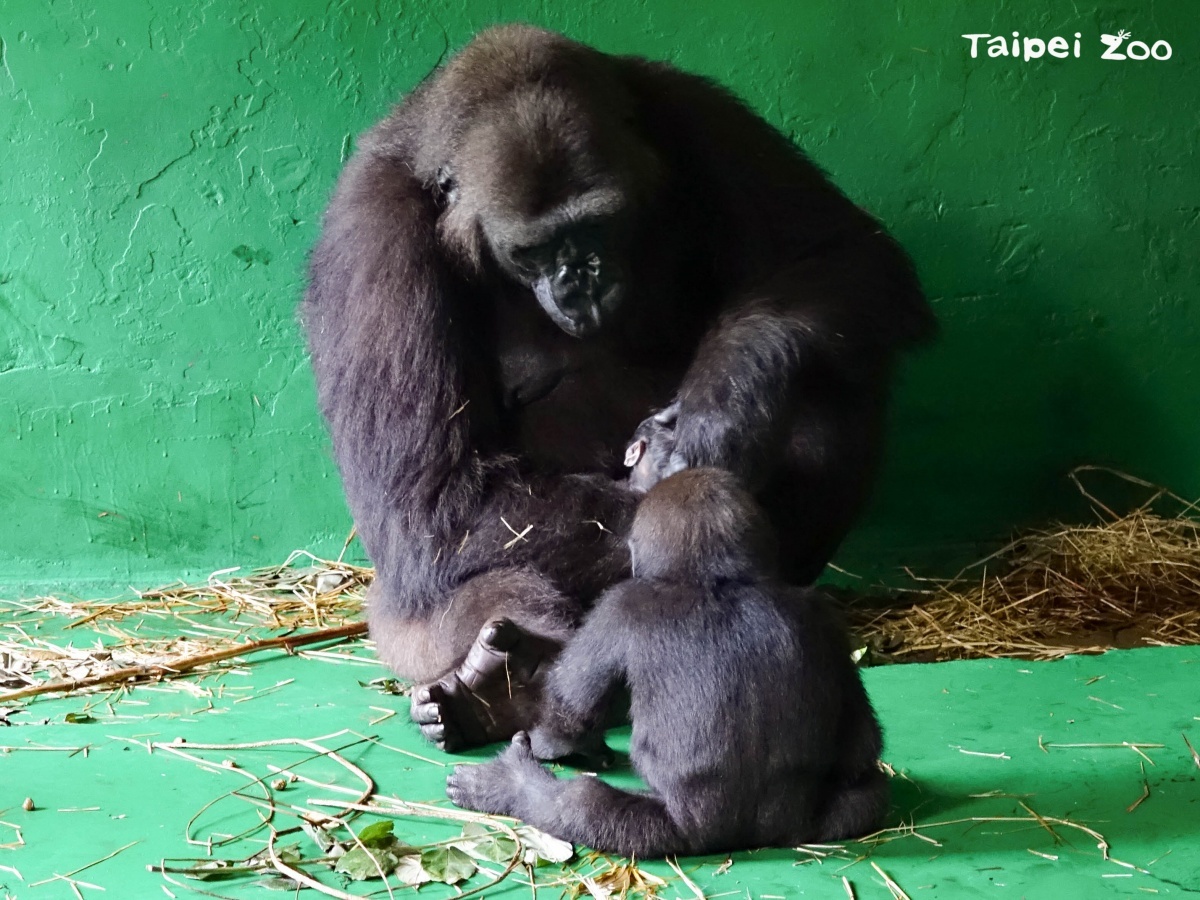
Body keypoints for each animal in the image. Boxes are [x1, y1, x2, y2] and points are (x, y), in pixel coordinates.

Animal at [302, 24, 936, 748]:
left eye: (594, 226)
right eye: (531, 251)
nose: (581, 280)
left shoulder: (697, 111)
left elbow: (843, 253)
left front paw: (723, 408)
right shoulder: (373, 232)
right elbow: (431, 501)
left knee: (828, 377)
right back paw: (506, 685)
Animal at [446, 468, 888, 854]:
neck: (717, 579)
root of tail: (749, 836)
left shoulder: (619, 605)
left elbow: (570, 715)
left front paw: (561, 748)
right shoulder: (822, 615)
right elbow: (861, 739)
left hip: (677, 829)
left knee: (581, 804)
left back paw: (513, 783)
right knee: (865, 796)